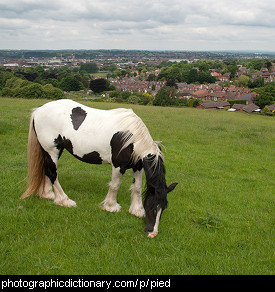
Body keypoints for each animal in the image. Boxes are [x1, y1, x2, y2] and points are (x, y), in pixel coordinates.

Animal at [21, 99, 177, 238]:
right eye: (152, 207)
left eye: (163, 207)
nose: (152, 233)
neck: (132, 139)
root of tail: (39, 110)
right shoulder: (118, 166)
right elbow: (115, 185)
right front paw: (111, 206)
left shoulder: (137, 166)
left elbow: (137, 187)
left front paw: (136, 210)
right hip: (52, 150)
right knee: (53, 173)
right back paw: (64, 201)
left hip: (53, 151)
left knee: (47, 170)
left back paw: (48, 194)